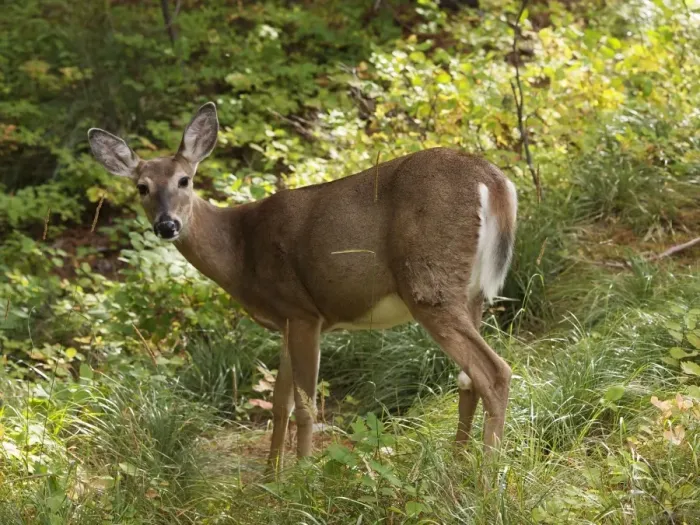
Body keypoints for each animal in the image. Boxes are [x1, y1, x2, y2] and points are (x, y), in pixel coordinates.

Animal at [88, 102, 518, 474]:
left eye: (184, 180)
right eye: (142, 187)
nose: (167, 225)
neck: (240, 250)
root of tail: (494, 182)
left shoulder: (304, 311)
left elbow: (306, 405)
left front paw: (302, 477)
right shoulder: (286, 321)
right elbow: (280, 403)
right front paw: (270, 477)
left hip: (429, 283)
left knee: (493, 371)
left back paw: (486, 478)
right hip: (471, 292)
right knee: (468, 378)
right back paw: (458, 465)